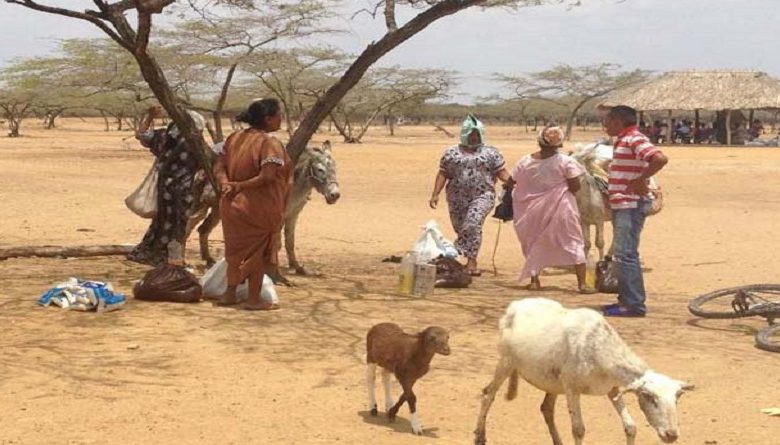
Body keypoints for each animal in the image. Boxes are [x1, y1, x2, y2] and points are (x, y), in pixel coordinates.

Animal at [472, 296, 692, 444]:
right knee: (488, 395)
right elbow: (578, 429)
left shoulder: (612, 389)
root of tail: (516, 304)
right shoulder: (572, 388)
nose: (671, 435)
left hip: (552, 380)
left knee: (546, 409)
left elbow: (631, 427)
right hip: (506, 362)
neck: (600, 348)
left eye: (677, 399)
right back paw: (480, 436)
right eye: (649, 397)